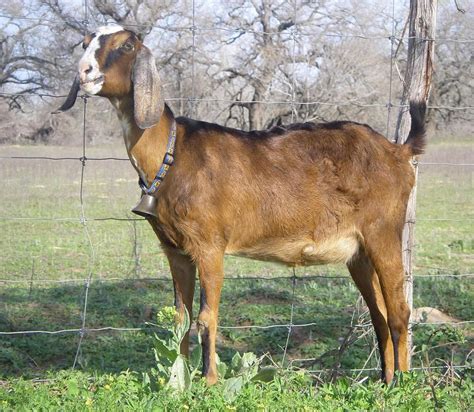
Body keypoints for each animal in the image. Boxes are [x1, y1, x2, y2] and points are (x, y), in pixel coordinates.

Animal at [56, 25, 426, 386]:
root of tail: (398, 151)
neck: (173, 153)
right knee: (379, 314)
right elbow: (180, 319)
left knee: (399, 312)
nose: (84, 71)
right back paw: (385, 381)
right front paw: (178, 383)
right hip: (358, 252)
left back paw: (402, 385)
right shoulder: (175, 249)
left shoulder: (209, 244)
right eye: (85, 43)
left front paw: (209, 383)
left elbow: (206, 317)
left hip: (383, 231)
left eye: (126, 45)